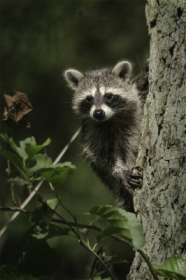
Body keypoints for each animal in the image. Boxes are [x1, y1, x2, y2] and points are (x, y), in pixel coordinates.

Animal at [64, 60, 148, 210]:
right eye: (89, 99)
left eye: (109, 96)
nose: (98, 113)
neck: (111, 118)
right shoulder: (92, 130)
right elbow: (100, 154)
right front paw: (119, 169)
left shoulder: (136, 110)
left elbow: (140, 97)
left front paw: (143, 83)